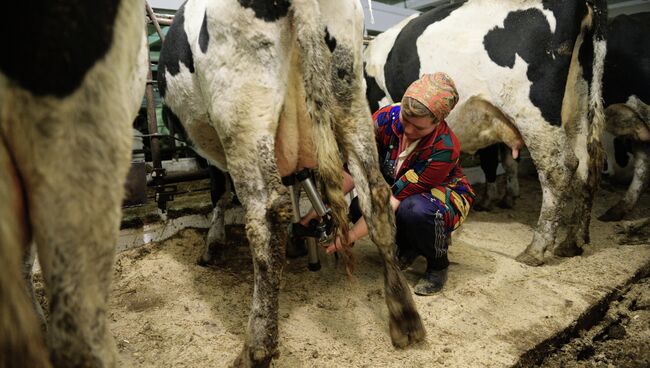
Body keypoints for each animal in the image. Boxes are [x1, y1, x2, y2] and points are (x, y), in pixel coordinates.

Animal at [158, 0, 426, 366]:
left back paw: (256, 348)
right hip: (349, 98)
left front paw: (212, 245)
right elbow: (297, 186)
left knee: (267, 214)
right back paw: (404, 316)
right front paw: (300, 241)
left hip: (242, 110)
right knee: (376, 194)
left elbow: (220, 192)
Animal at [362, 0, 604, 266]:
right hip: (579, 108)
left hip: (532, 110)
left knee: (559, 168)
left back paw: (536, 249)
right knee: (585, 169)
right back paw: (572, 242)